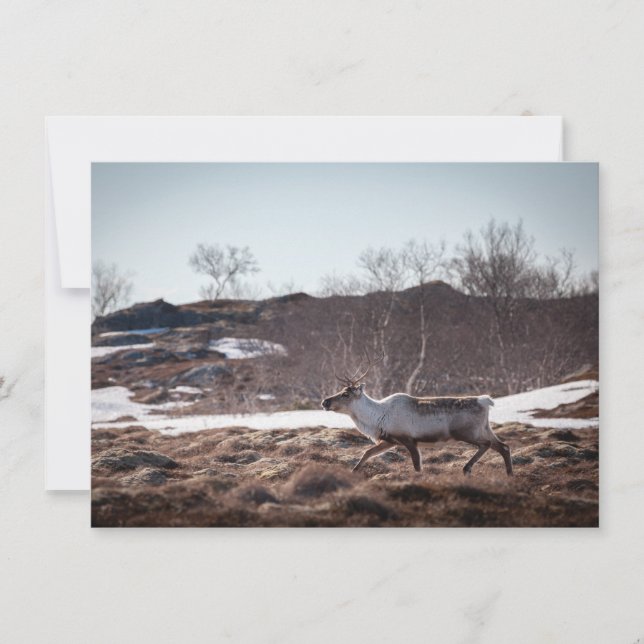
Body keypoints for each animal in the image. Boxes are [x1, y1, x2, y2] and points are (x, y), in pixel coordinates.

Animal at [321, 354, 513, 476]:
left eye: (346, 394)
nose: (324, 402)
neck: (377, 416)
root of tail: (485, 401)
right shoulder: (390, 440)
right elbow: (367, 453)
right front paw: (352, 472)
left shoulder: (408, 439)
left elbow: (417, 466)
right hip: (485, 429)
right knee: (504, 446)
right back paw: (509, 475)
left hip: (467, 432)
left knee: (487, 444)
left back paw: (467, 468)